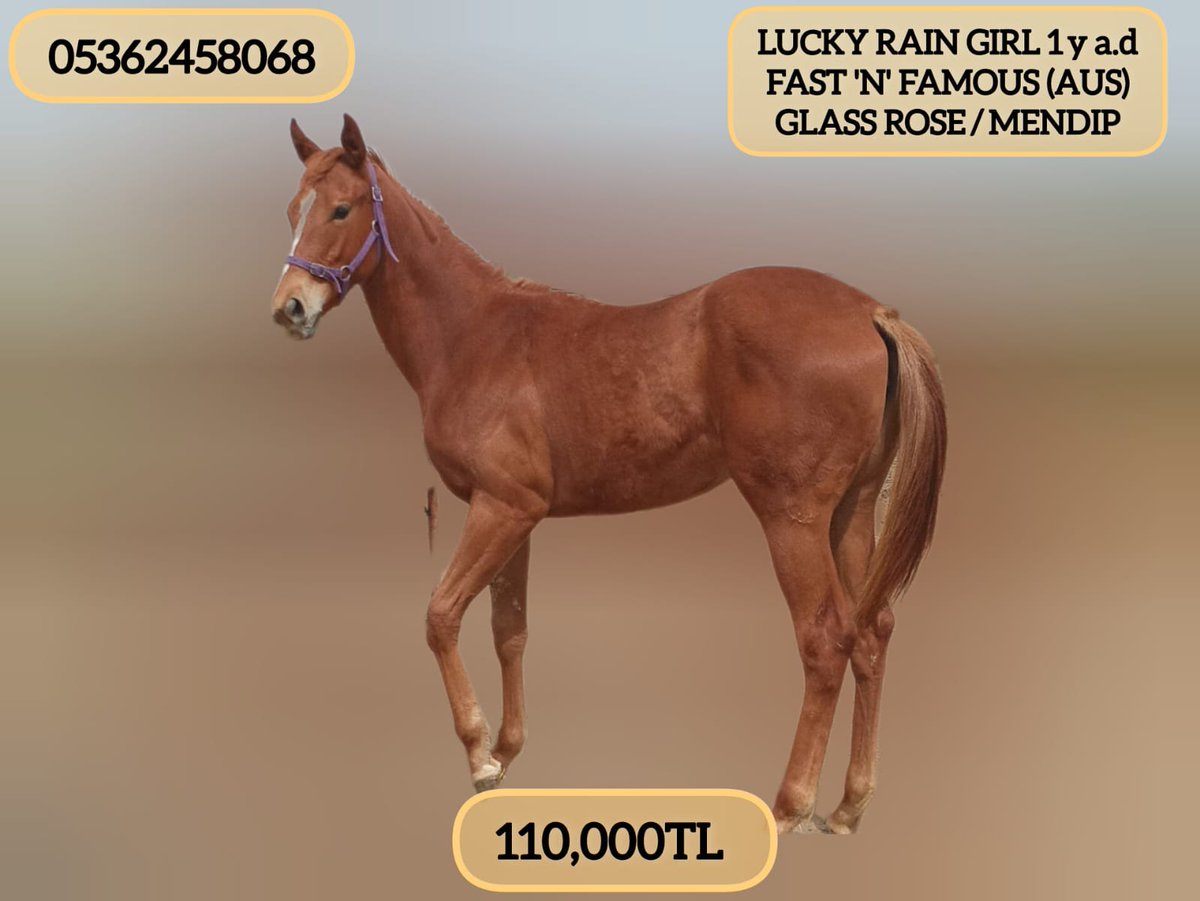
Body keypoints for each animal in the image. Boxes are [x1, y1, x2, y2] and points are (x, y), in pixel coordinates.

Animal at [270, 115, 946, 835]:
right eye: (293, 209)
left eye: (342, 208)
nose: (290, 307)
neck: (475, 337)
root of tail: (872, 313)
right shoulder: (515, 512)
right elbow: (509, 629)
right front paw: (505, 753)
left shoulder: (500, 508)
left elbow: (441, 615)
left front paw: (479, 756)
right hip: (853, 511)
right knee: (872, 632)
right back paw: (848, 806)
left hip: (792, 517)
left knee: (825, 640)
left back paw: (790, 807)